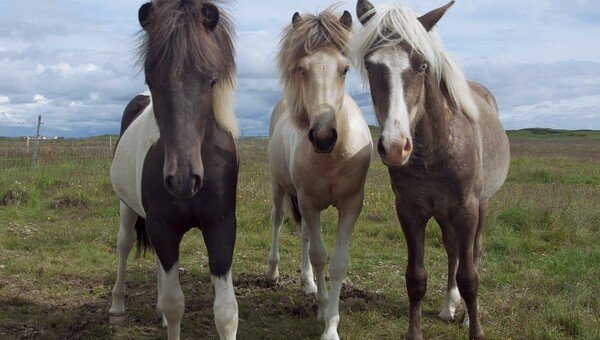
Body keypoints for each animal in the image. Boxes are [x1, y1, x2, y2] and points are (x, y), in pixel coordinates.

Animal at [108, 1, 239, 338]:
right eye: (151, 79)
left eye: (212, 80)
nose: (182, 180)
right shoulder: (162, 226)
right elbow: (175, 304)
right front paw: (166, 314)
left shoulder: (221, 226)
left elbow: (225, 312)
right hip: (128, 208)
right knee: (124, 245)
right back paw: (117, 306)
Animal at [264, 6, 372, 340]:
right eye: (302, 69)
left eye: (345, 69)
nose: (323, 136)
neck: (334, 156)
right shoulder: (308, 202)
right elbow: (319, 255)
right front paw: (324, 310)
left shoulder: (351, 205)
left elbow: (336, 261)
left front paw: (331, 324)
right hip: (281, 189)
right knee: (279, 220)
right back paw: (272, 272)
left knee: (305, 237)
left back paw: (309, 283)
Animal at [352, 1, 510, 338]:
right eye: (370, 65)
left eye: (423, 65)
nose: (395, 146)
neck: (436, 150)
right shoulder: (411, 211)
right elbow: (416, 278)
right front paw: (416, 331)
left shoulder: (466, 209)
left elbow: (470, 277)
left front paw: (475, 329)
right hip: (442, 212)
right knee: (452, 250)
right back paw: (449, 306)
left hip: (481, 206)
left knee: (472, 252)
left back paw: (464, 315)